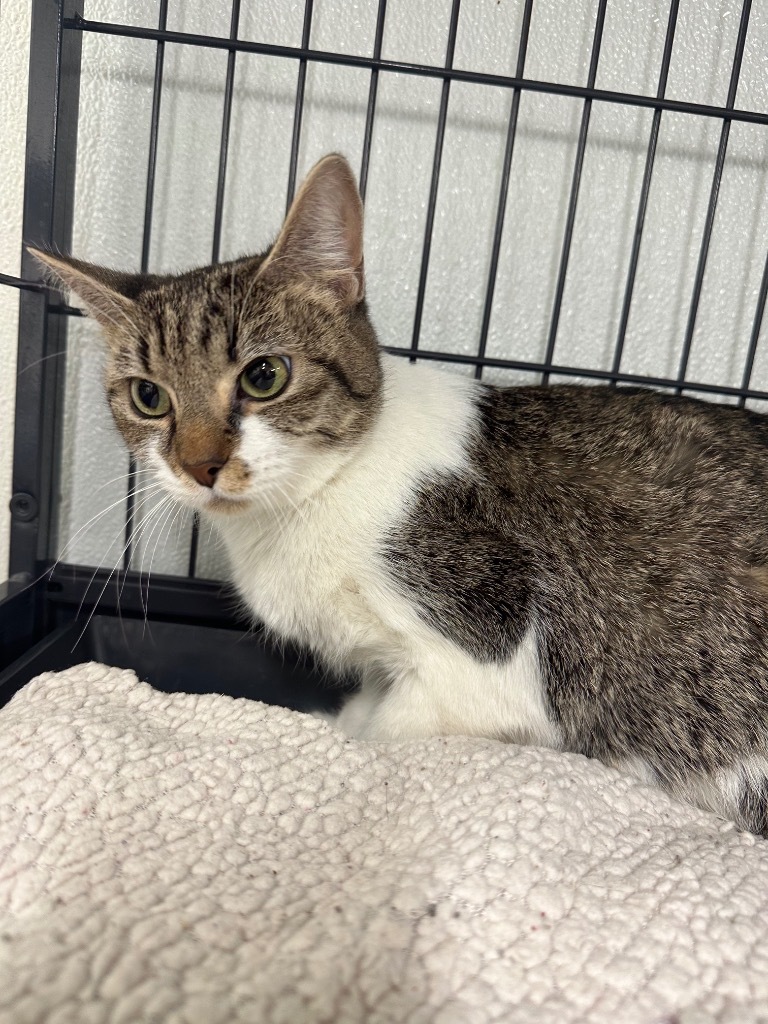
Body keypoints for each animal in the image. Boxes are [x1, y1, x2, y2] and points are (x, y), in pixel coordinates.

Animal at [33, 155, 768, 835]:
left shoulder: (486, 661)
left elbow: (386, 735)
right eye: (148, 397)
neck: (310, 504)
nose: (199, 464)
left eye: (265, 375)